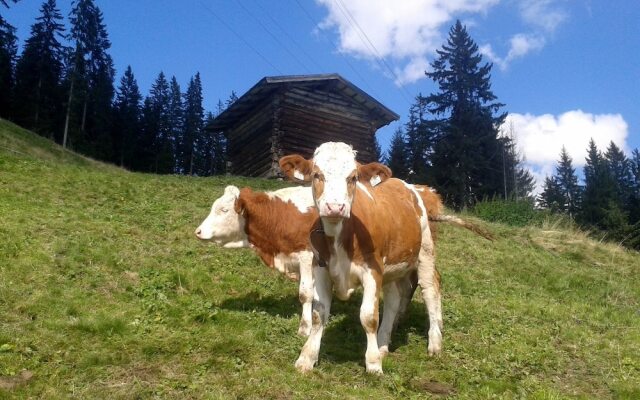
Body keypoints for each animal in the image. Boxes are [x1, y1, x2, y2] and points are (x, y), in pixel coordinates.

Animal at [280, 142, 444, 374]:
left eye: (353, 177)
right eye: (316, 174)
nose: (335, 207)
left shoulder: (372, 271)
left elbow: (369, 317)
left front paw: (373, 364)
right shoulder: (321, 269)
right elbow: (318, 315)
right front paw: (307, 358)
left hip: (425, 252)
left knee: (430, 290)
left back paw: (435, 342)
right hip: (392, 267)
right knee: (394, 300)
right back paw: (383, 345)